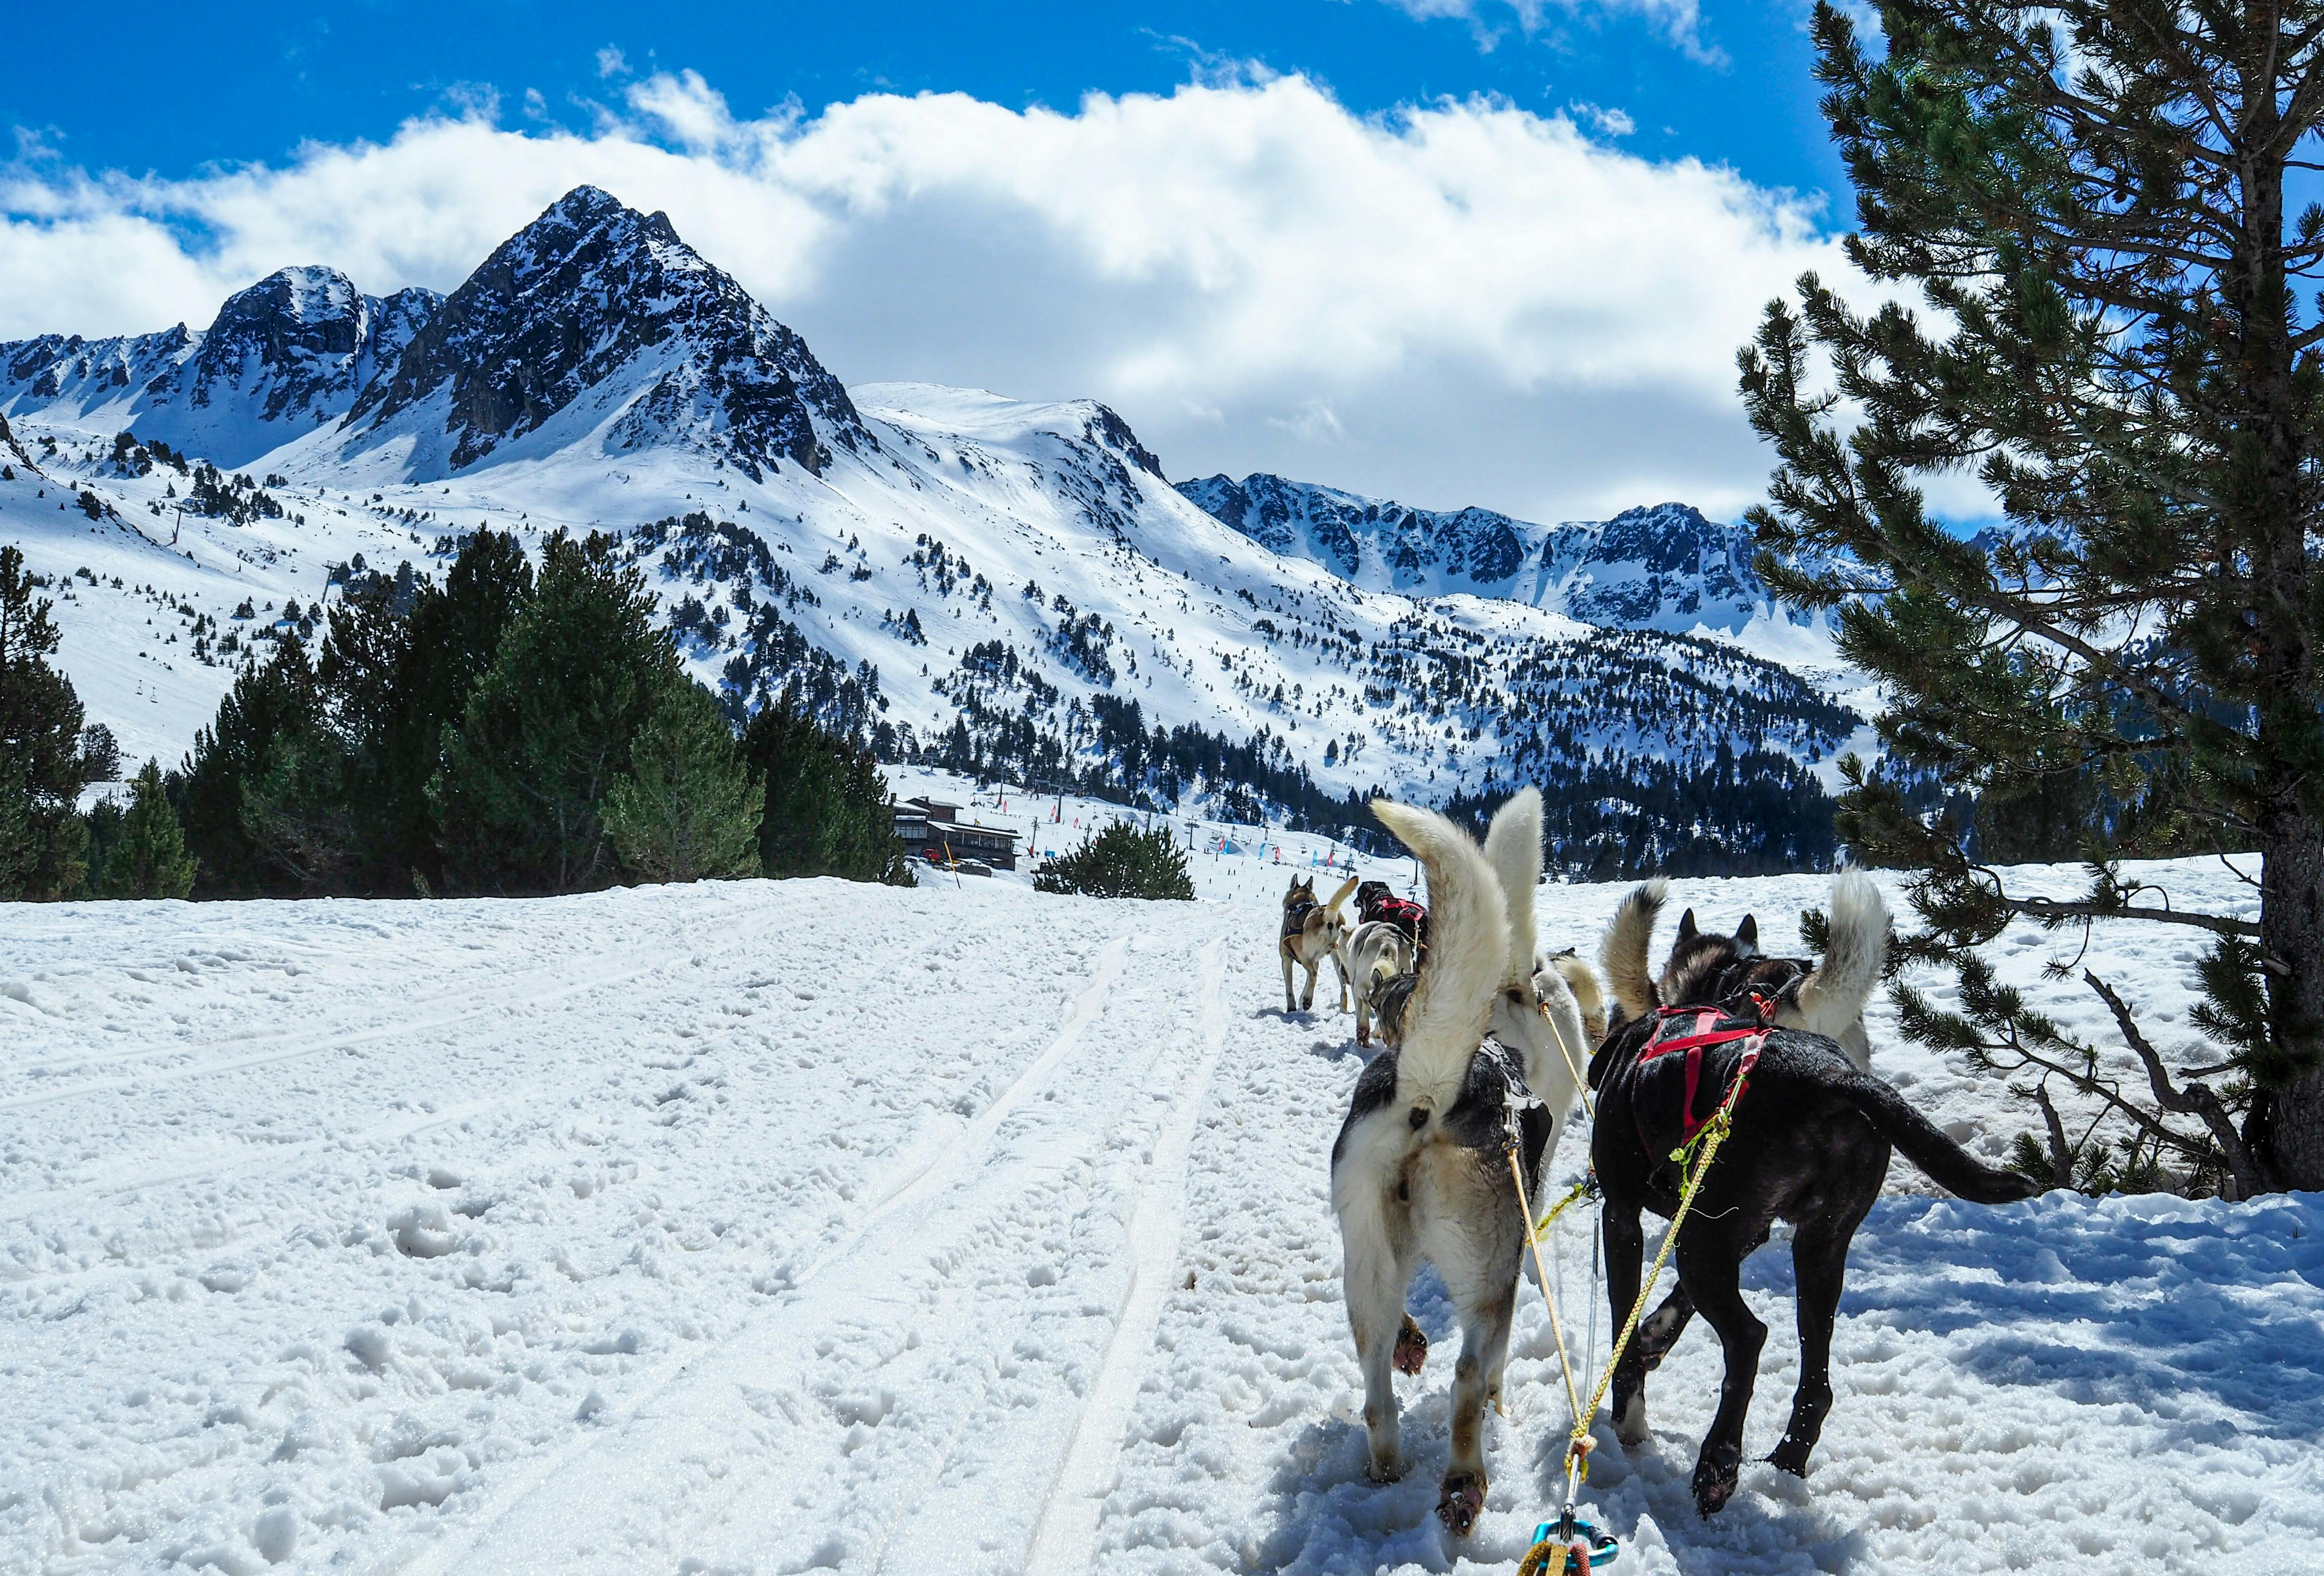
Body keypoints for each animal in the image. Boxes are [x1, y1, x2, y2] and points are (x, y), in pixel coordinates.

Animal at [1273, 879, 1357, 1013]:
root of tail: (1328, 917)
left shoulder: (1287, 959)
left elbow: (1290, 988)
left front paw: (1292, 1007)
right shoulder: (1316, 961)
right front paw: (1301, 1000)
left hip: (1304, 956)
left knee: (1313, 975)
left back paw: (1308, 1001)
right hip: (1338, 960)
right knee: (1344, 986)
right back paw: (1342, 1011)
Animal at [1329, 790, 1599, 1543]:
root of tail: (1431, 1093)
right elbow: (1495, 1367)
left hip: (1366, 1265)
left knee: (1378, 1391)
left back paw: (1390, 1461)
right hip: (1486, 1279)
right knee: (1469, 1377)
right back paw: (1464, 1482)